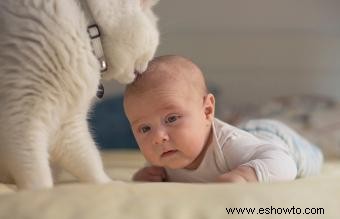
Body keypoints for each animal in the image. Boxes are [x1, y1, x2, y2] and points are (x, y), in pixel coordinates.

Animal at [0, 0, 160, 189]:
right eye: (152, 49)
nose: (145, 70)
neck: (88, 28)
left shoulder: (69, 124)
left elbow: (89, 160)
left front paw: (110, 184)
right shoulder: (22, 115)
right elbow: (35, 170)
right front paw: (40, 191)